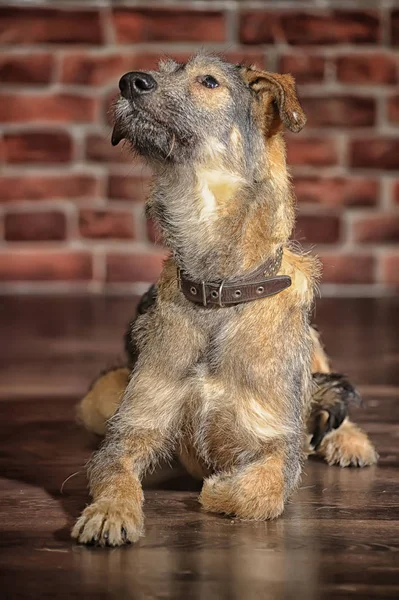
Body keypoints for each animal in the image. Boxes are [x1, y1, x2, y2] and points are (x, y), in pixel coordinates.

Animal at [72, 54, 378, 548]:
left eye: (209, 81)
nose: (129, 81)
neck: (218, 292)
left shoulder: (277, 443)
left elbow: (260, 490)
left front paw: (217, 490)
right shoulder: (130, 430)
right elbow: (115, 474)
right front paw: (109, 512)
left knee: (327, 390)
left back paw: (348, 440)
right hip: (100, 399)